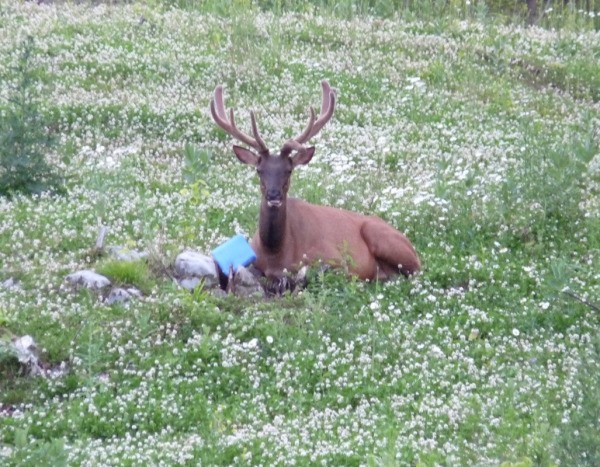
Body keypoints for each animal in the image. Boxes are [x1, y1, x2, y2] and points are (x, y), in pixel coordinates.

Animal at [211, 80, 422, 288]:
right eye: (259, 170)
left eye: (289, 170)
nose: (273, 195)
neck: (275, 253)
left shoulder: (333, 256)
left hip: (384, 238)